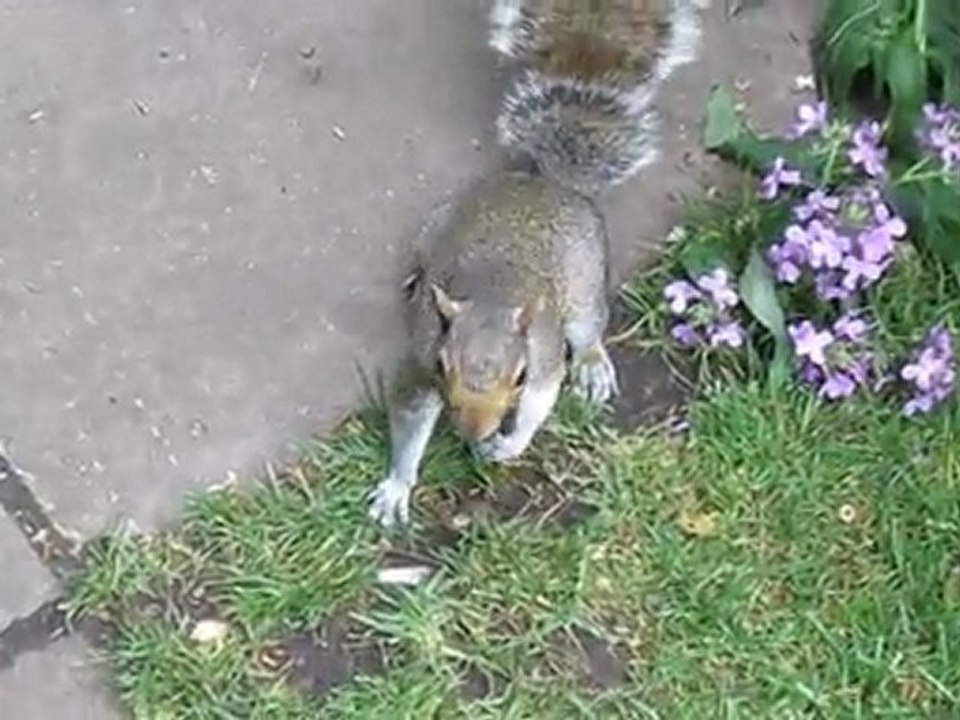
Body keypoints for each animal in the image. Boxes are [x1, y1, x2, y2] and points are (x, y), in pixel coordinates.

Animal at [369, 0, 710, 527]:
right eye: (444, 366)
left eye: (520, 374)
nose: (475, 431)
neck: (492, 295)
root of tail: (552, 182)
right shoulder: (423, 355)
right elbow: (409, 416)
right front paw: (397, 486)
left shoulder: (545, 350)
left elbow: (540, 401)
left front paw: (507, 445)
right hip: (440, 220)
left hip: (586, 283)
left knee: (589, 329)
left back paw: (592, 364)